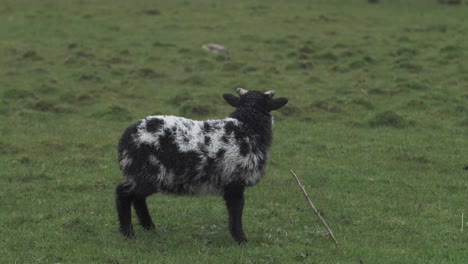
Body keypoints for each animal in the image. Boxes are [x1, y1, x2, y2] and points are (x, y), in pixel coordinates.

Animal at [115, 88, 288, 243]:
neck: (246, 128)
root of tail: (126, 138)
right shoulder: (235, 181)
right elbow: (236, 209)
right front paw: (241, 239)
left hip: (145, 175)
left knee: (138, 198)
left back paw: (149, 227)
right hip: (147, 172)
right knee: (123, 193)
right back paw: (128, 234)